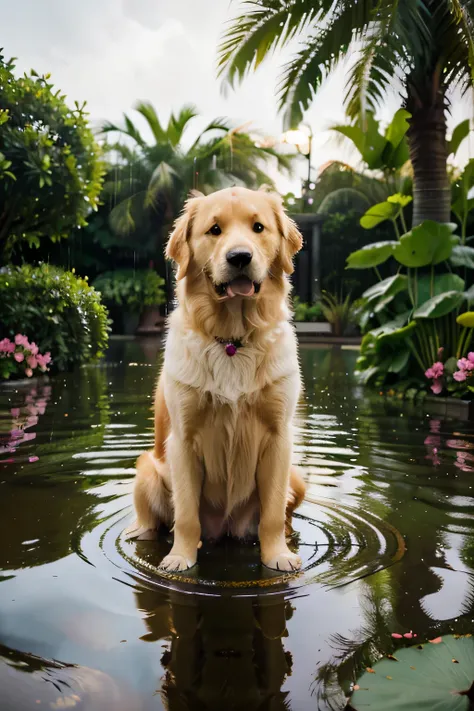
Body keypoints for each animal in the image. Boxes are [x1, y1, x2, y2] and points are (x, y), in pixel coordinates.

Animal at [126, 185, 306, 572]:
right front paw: (180, 557)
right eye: (214, 230)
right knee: (152, 522)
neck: (232, 341)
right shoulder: (182, 441)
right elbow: (186, 516)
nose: (239, 257)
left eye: (258, 227)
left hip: (296, 479)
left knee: (284, 515)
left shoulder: (279, 439)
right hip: (147, 469)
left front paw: (277, 555)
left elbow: (272, 514)